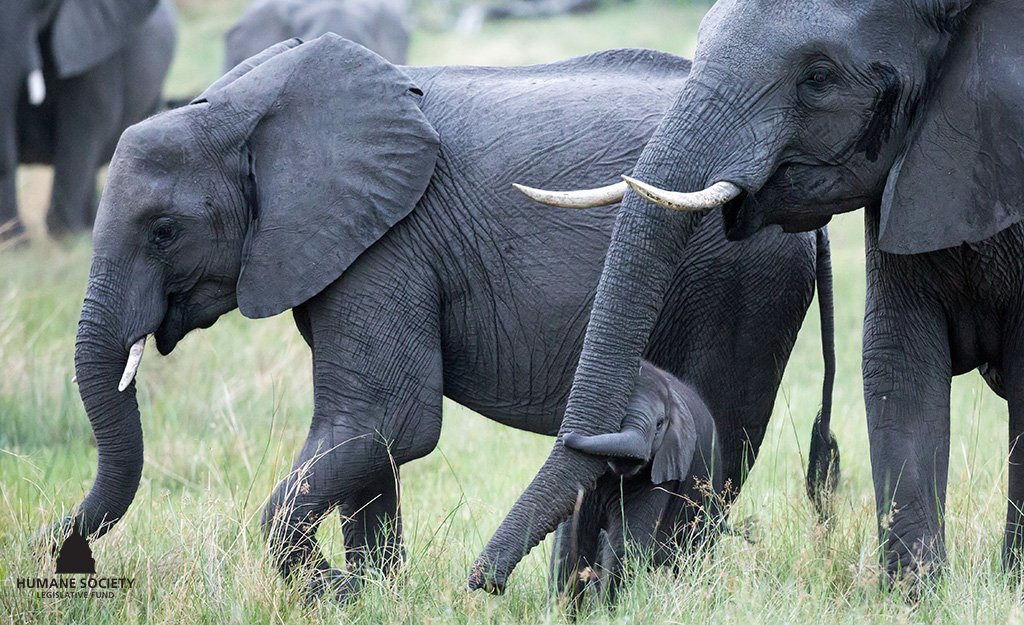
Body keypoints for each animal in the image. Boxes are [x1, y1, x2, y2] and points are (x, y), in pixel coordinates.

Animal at [550, 361, 723, 614]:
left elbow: (626, 541)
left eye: (660, 424)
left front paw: (607, 615)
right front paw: (560, 615)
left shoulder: (663, 469)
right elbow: (571, 539)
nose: (568, 437)